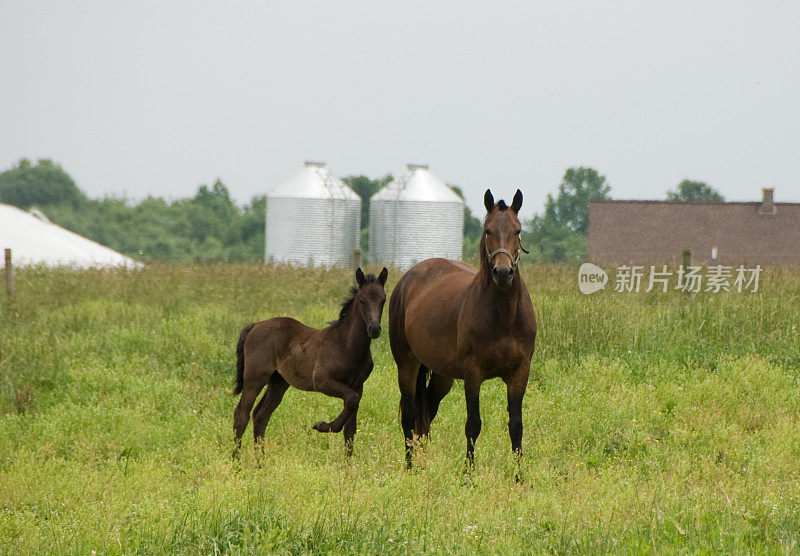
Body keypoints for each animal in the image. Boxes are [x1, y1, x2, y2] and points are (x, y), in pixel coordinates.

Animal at [231, 268, 388, 456]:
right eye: (362, 300)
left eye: (383, 300)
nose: (374, 329)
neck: (346, 345)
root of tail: (254, 326)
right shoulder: (321, 380)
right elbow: (351, 401)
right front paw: (321, 426)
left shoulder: (358, 386)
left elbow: (350, 430)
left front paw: (348, 465)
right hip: (255, 378)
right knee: (242, 414)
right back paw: (236, 461)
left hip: (278, 382)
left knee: (260, 415)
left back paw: (261, 461)